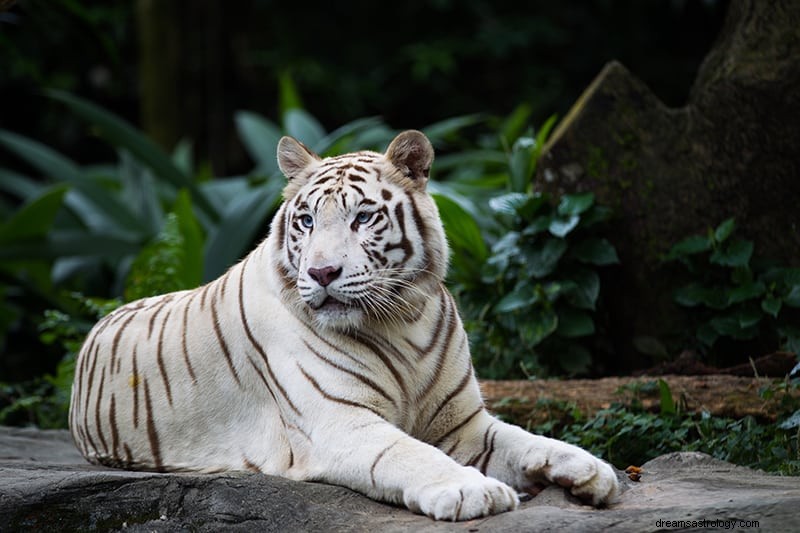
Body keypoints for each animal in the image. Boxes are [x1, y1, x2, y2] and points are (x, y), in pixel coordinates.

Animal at [69, 130, 620, 520]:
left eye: (363, 218)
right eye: (307, 221)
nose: (321, 272)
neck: (402, 319)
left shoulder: (463, 424)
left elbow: (524, 439)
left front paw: (591, 468)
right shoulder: (340, 422)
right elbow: (410, 454)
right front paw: (473, 490)